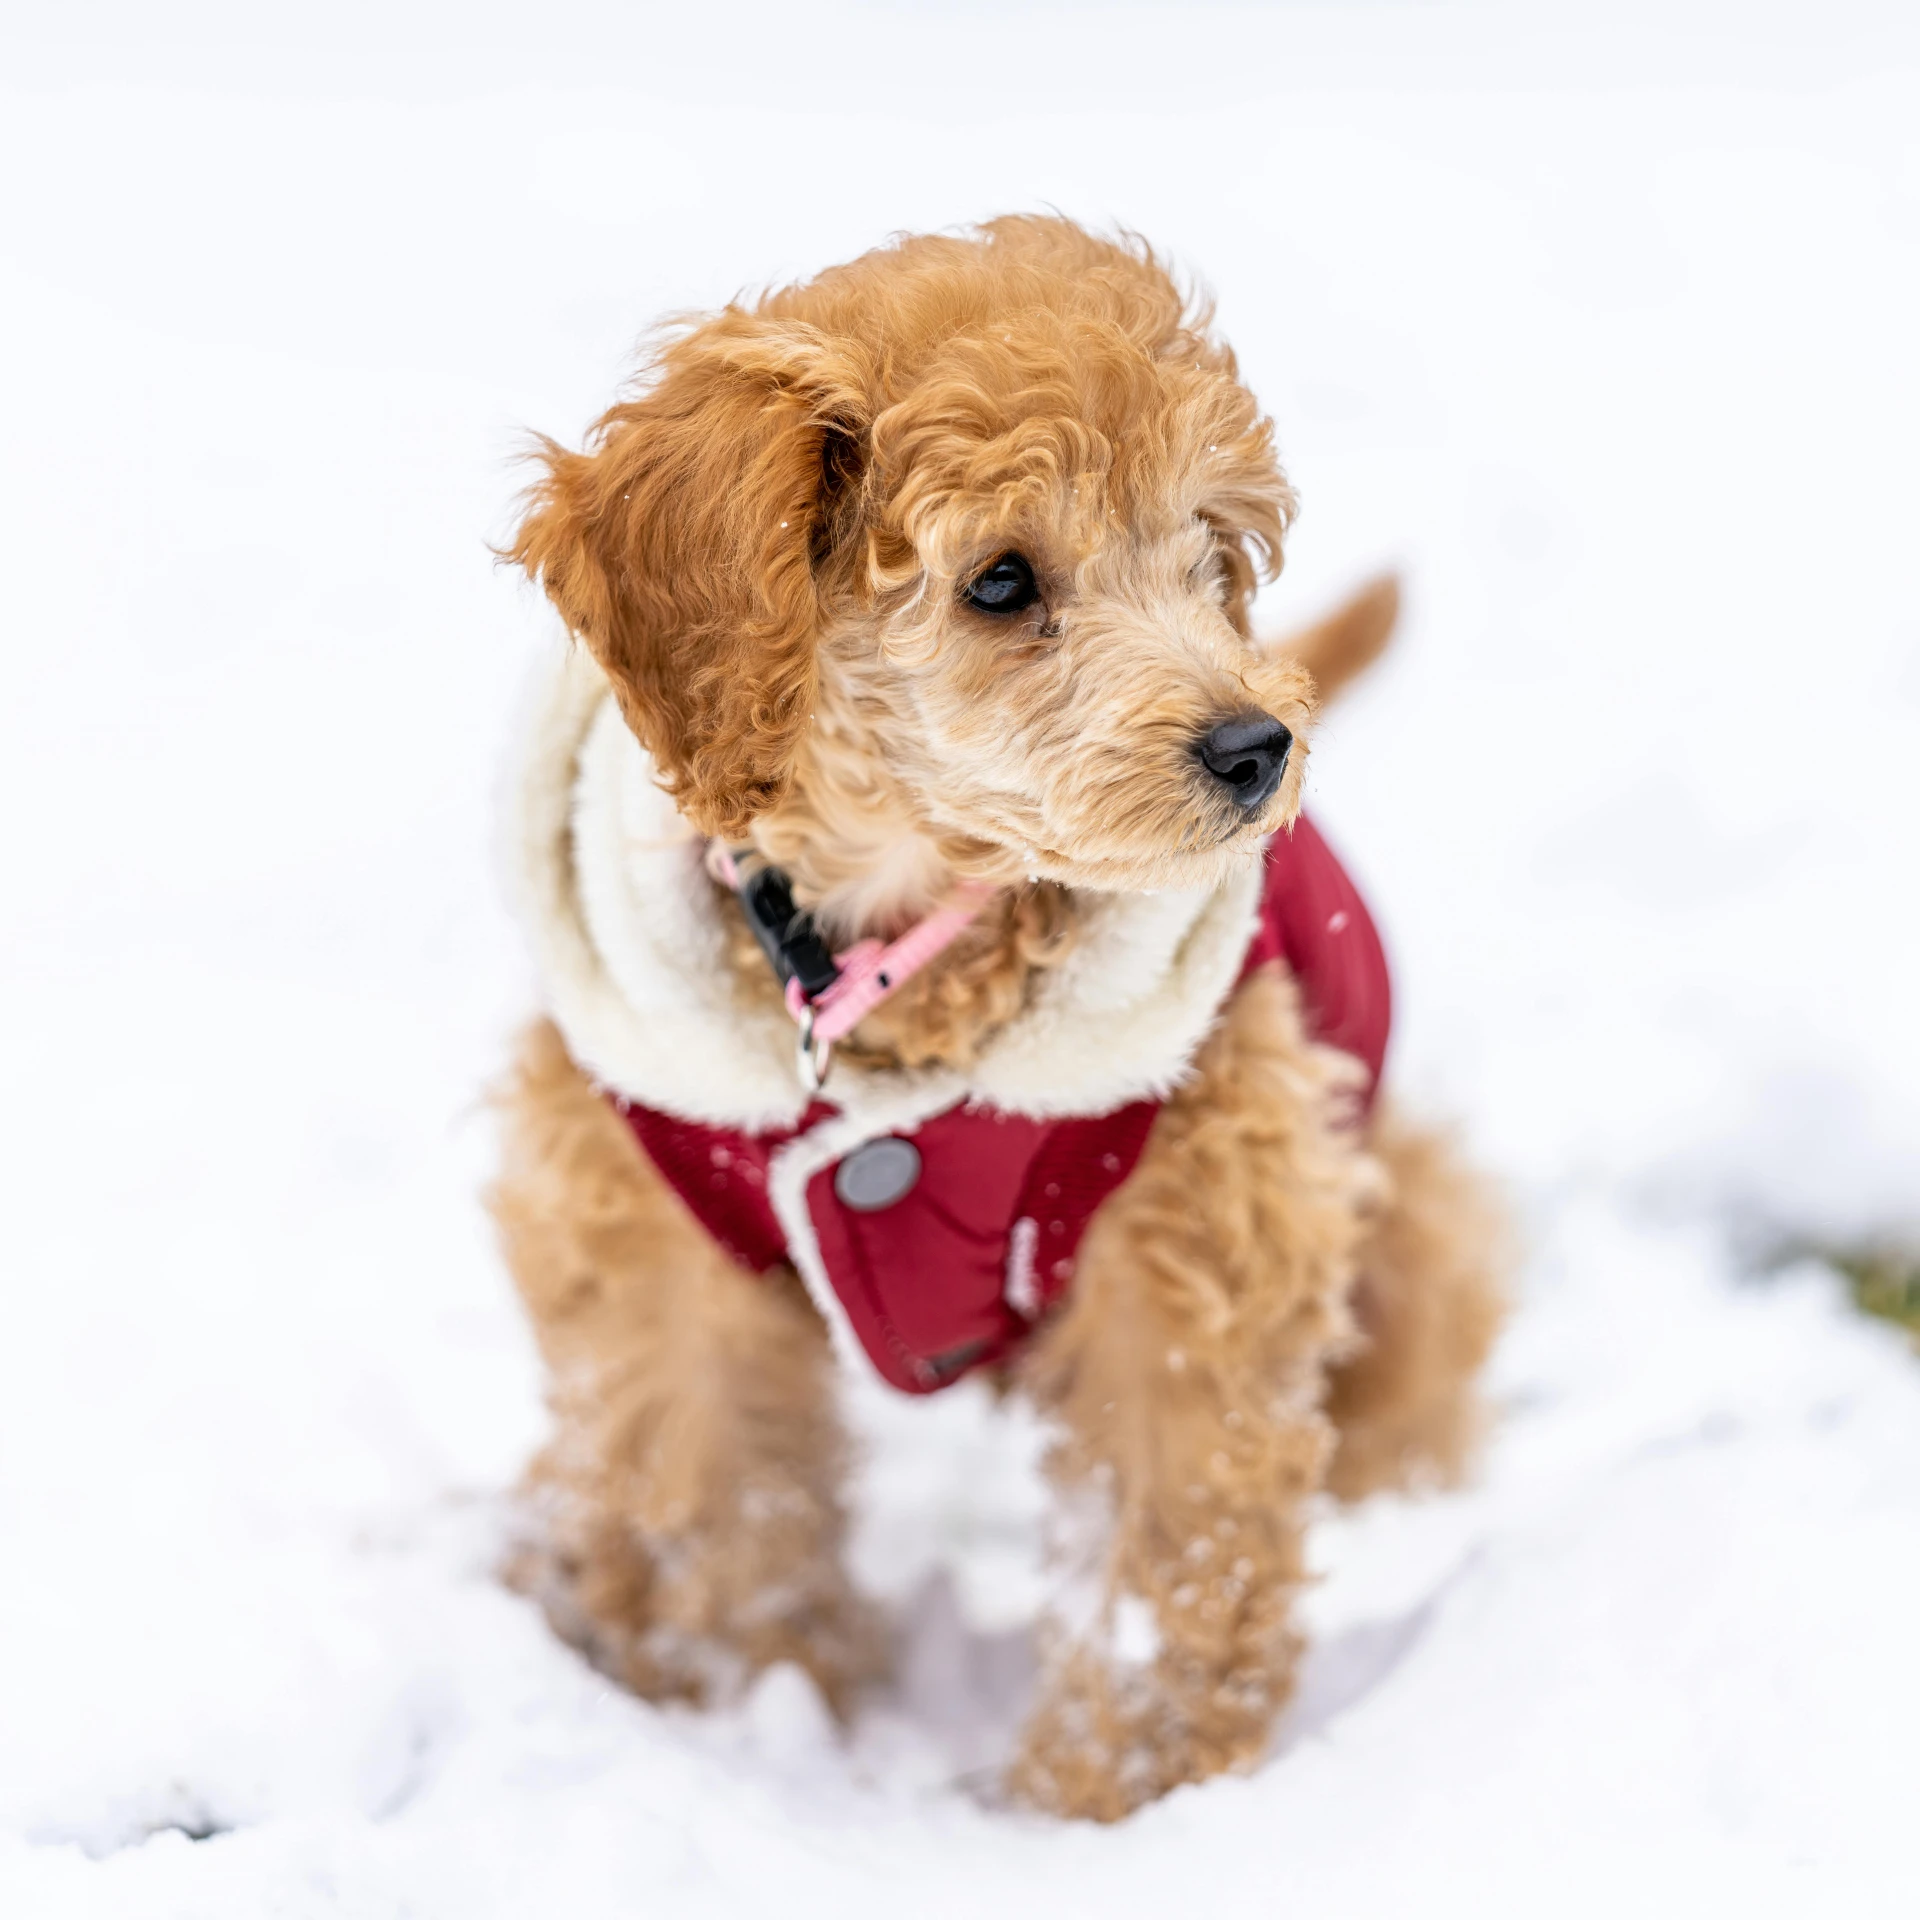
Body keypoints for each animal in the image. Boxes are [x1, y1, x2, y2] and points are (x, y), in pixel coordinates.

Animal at [487, 217, 1505, 1820]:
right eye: (1003, 582)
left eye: (1208, 550)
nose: (1255, 744)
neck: (901, 957)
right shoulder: (655, 1227)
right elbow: (710, 1492)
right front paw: (746, 1703)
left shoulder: (1196, 1227)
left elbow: (1171, 1547)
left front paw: (1114, 1804)